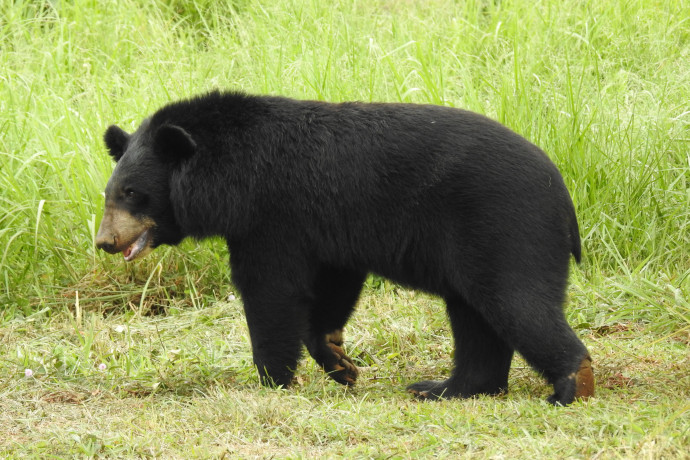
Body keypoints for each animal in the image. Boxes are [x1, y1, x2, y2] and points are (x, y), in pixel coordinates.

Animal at [95, 90, 592, 406]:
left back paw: (572, 383)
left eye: (133, 194)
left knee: (515, 302)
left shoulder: (271, 215)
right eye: (109, 193)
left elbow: (271, 292)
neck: (227, 174)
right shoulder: (328, 229)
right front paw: (340, 362)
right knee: (476, 320)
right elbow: (333, 285)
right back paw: (442, 388)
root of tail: (563, 197)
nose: (105, 242)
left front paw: (272, 379)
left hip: (502, 230)